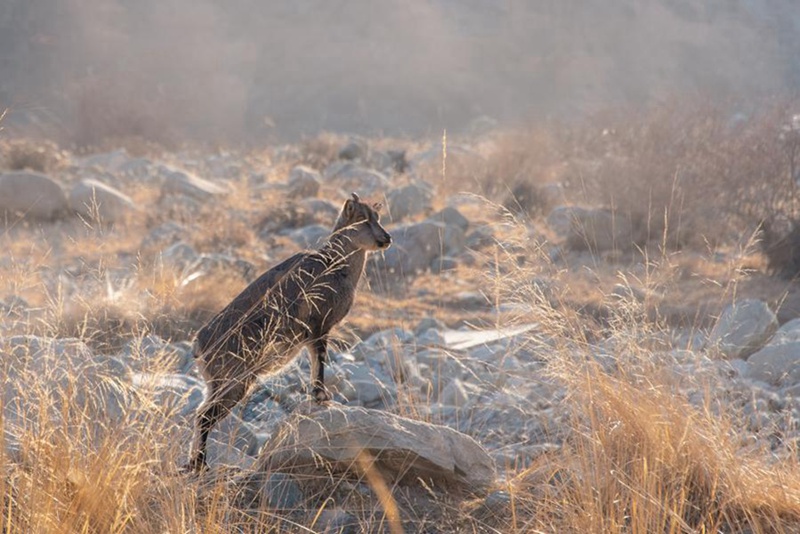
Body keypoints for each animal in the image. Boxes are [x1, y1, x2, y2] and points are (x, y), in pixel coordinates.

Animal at [185, 193, 390, 474]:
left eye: (377, 217)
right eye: (362, 219)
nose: (386, 238)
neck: (337, 265)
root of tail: (199, 348)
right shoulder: (318, 327)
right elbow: (319, 361)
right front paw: (321, 395)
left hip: (217, 385)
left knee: (199, 413)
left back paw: (193, 463)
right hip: (235, 383)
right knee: (206, 417)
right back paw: (201, 465)